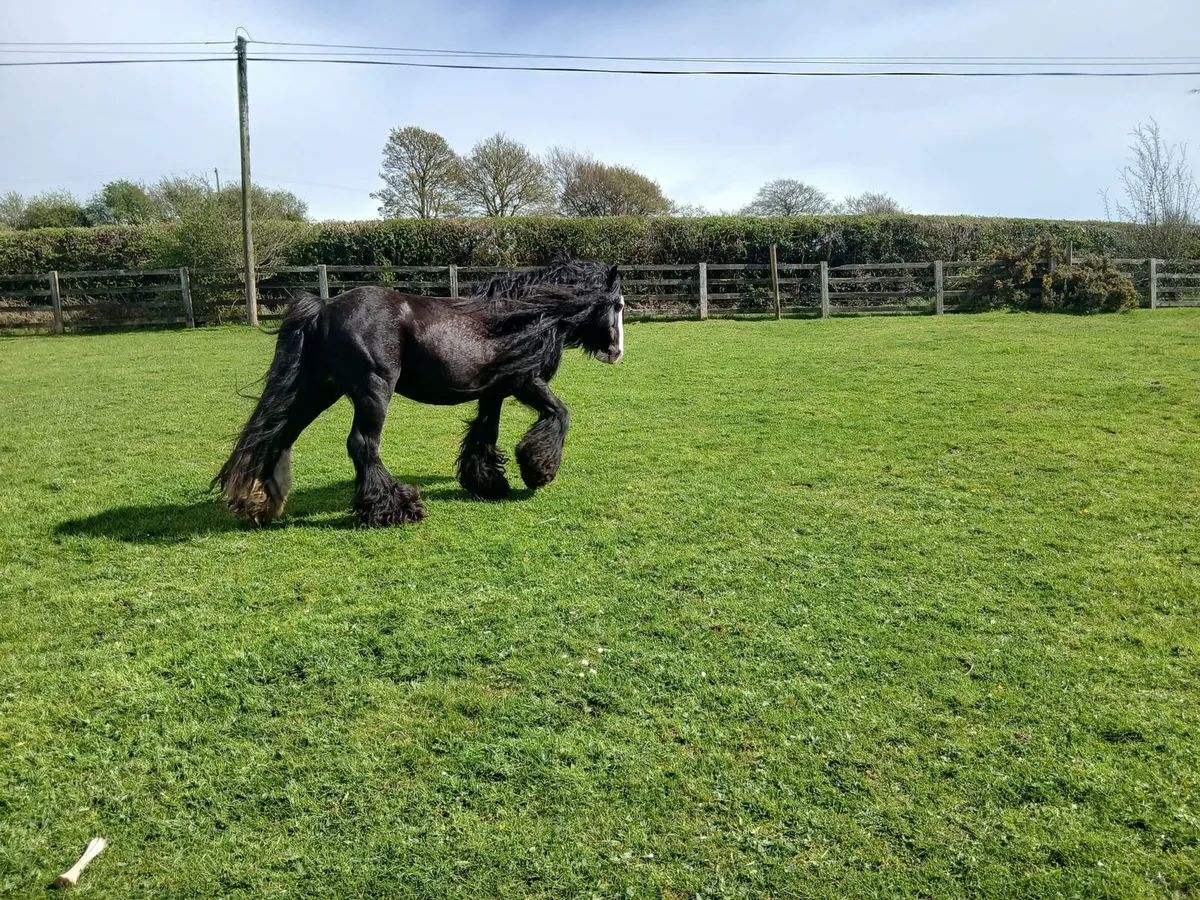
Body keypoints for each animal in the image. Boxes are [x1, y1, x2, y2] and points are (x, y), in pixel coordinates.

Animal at [212, 256, 625, 527]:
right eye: (618, 305)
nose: (617, 352)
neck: (515, 318)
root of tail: (323, 306)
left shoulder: (492, 392)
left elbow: (484, 434)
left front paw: (488, 482)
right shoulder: (523, 381)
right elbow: (560, 413)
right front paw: (538, 470)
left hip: (318, 389)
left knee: (279, 433)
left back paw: (264, 501)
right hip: (373, 390)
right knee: (361, 444)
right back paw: (393, 508)